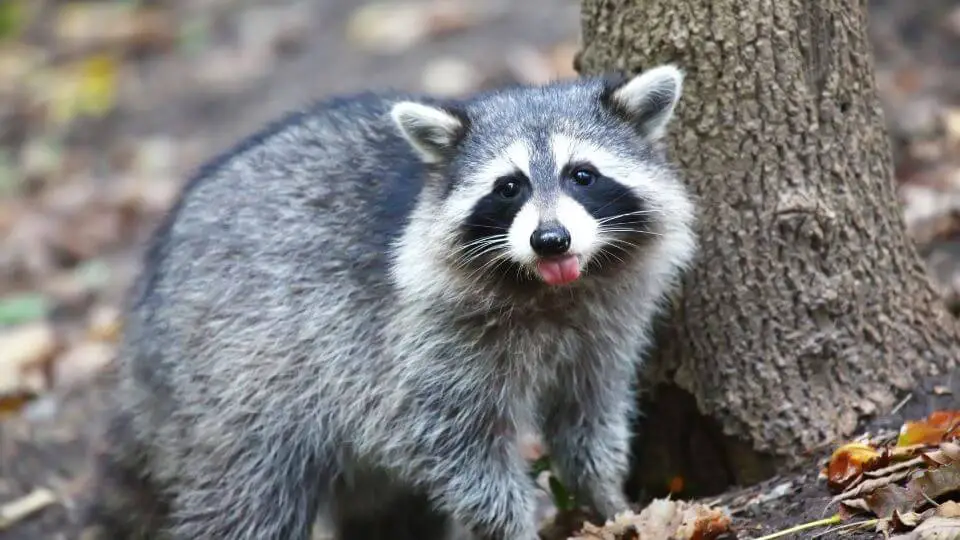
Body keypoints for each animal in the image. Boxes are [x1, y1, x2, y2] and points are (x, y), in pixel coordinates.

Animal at [82, 64, 696, 540]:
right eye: (509, 187)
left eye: (582, 175)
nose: (551, 240)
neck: (547, 289)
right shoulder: (413, 345)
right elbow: (457, 450)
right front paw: (512, 526)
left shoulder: (601, 329)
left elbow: (591, 419)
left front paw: (610, 501)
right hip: (234, 376)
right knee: (248, 497)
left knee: (391, 511)